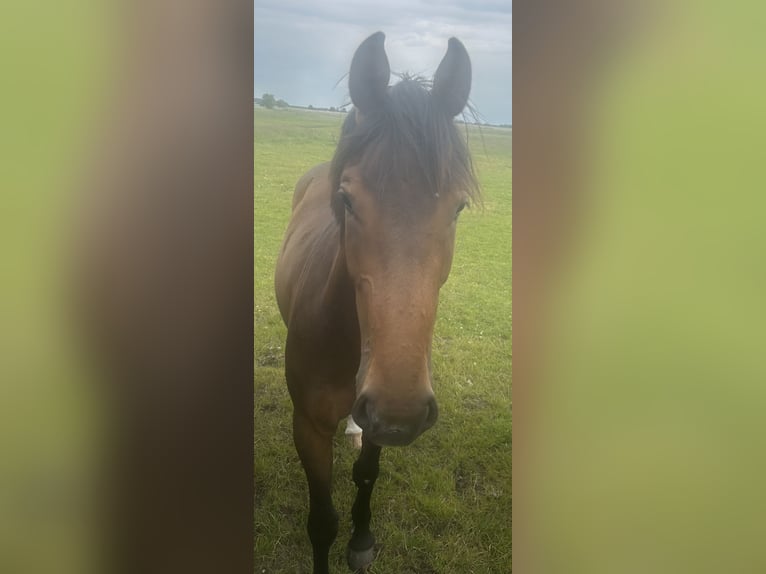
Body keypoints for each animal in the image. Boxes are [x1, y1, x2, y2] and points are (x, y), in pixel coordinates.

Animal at [274, 31, 479, 573]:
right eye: (346, 200)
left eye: (458, 206)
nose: (399, 408)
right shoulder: (308, 427)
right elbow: (321, 521)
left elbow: (366, 476)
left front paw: (362, 539)